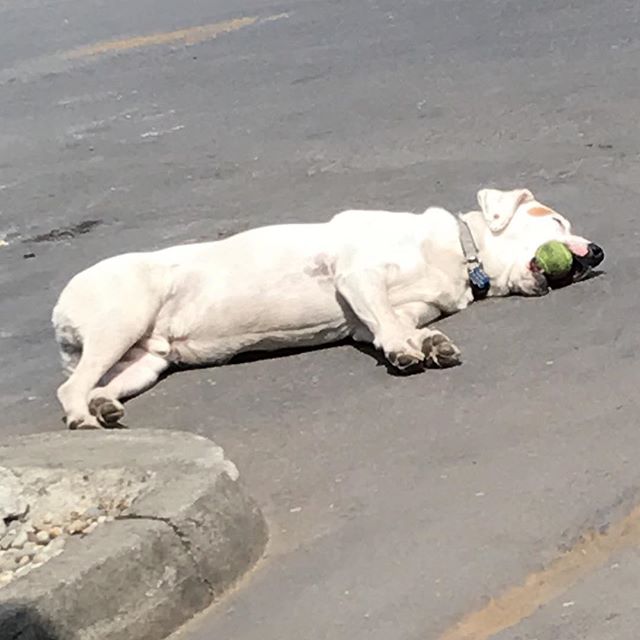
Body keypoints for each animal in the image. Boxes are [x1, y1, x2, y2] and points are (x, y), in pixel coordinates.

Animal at [52, 189, 604, 430]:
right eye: (556, 220)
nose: (597, 252)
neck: (458, 253)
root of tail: (59, 307)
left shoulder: (390, 313)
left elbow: (392, 323)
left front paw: (426, 343)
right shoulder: (358, 275)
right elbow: (385, 318)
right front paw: (405, 350)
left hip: (145, 362)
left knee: (101, 384)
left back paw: (102, 408)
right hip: (122, 318)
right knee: (69, 389)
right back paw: (83, 417)